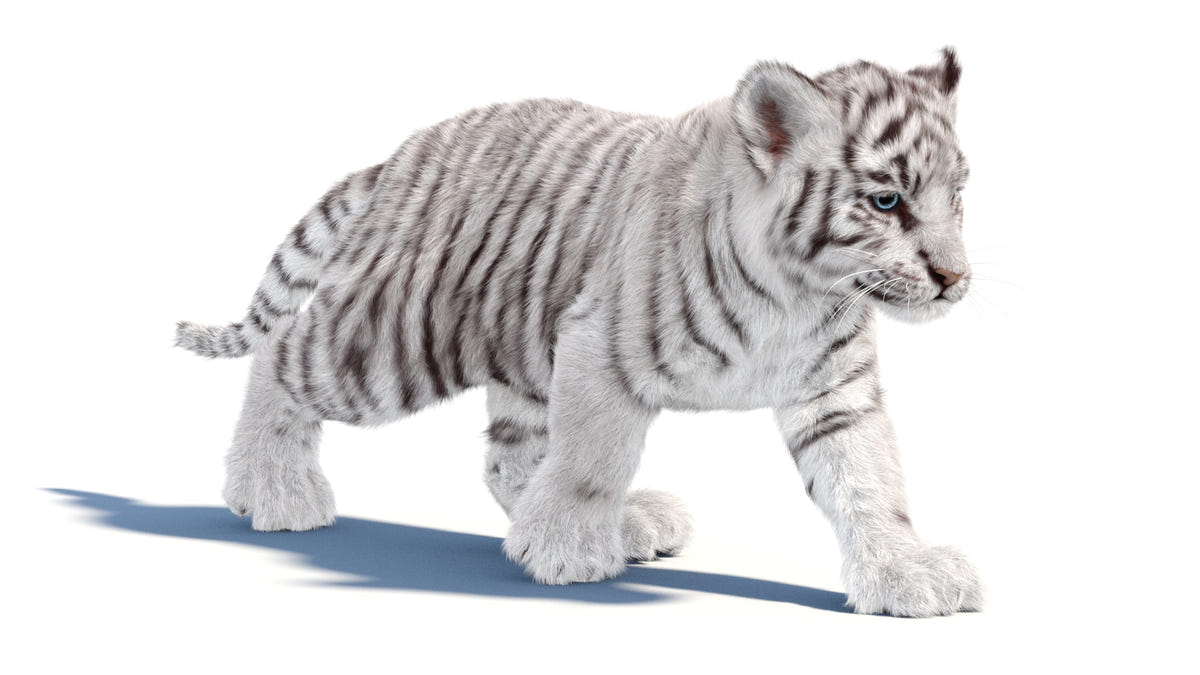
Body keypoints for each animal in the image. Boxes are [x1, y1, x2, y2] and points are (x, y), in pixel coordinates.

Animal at [176, 48, 982, 617]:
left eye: (958, 196)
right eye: (887, 201)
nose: (954, 278)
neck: (800, 292)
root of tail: (399, 158)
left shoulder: (835, 389)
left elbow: (870, 480)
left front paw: (904, 572)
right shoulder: (602, 351)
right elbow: (595, 457)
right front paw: (567, 550)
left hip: (521, 351)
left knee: (507, 459)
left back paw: (620, 523)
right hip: (391, 343)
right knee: (281, 354)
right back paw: (273, 492)